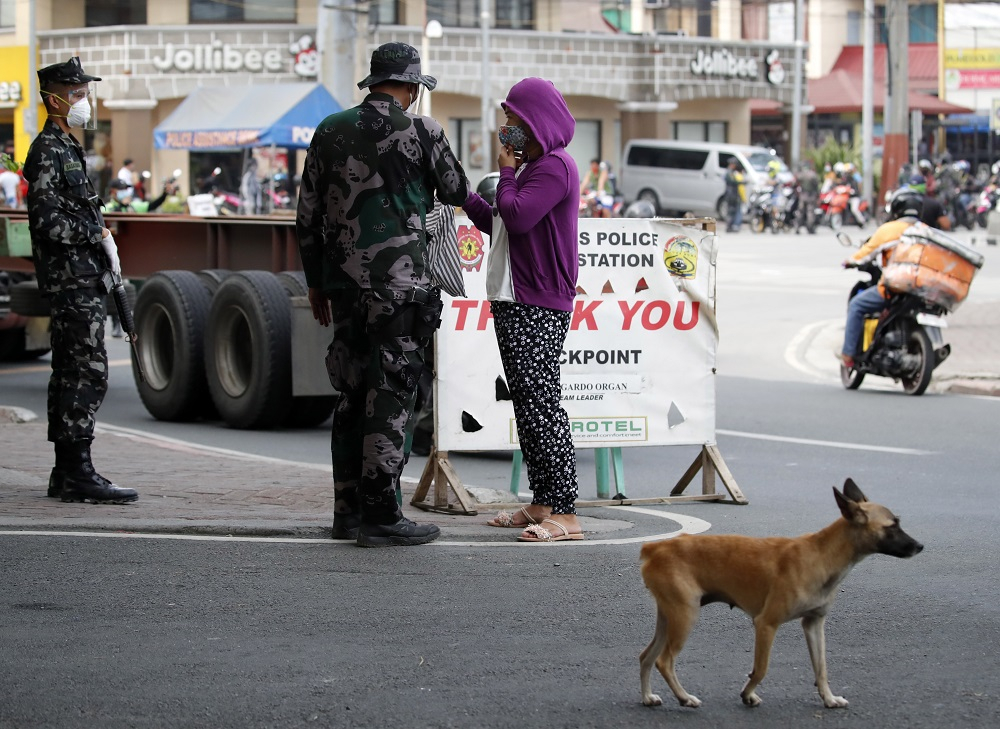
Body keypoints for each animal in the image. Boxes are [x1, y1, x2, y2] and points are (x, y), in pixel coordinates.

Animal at [640, 478, 920, 712]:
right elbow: (761, 669)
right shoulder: (766, 624)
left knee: (646, 656)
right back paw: (684, 697)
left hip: (669, 617)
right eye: (892, 526)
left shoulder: (814, 624)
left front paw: (828, 698)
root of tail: (656, 548)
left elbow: (821, 668)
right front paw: (748, 694)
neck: (823, 555)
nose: (920, 546)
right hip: (685, 615)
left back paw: (647, 696)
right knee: (664, 661)